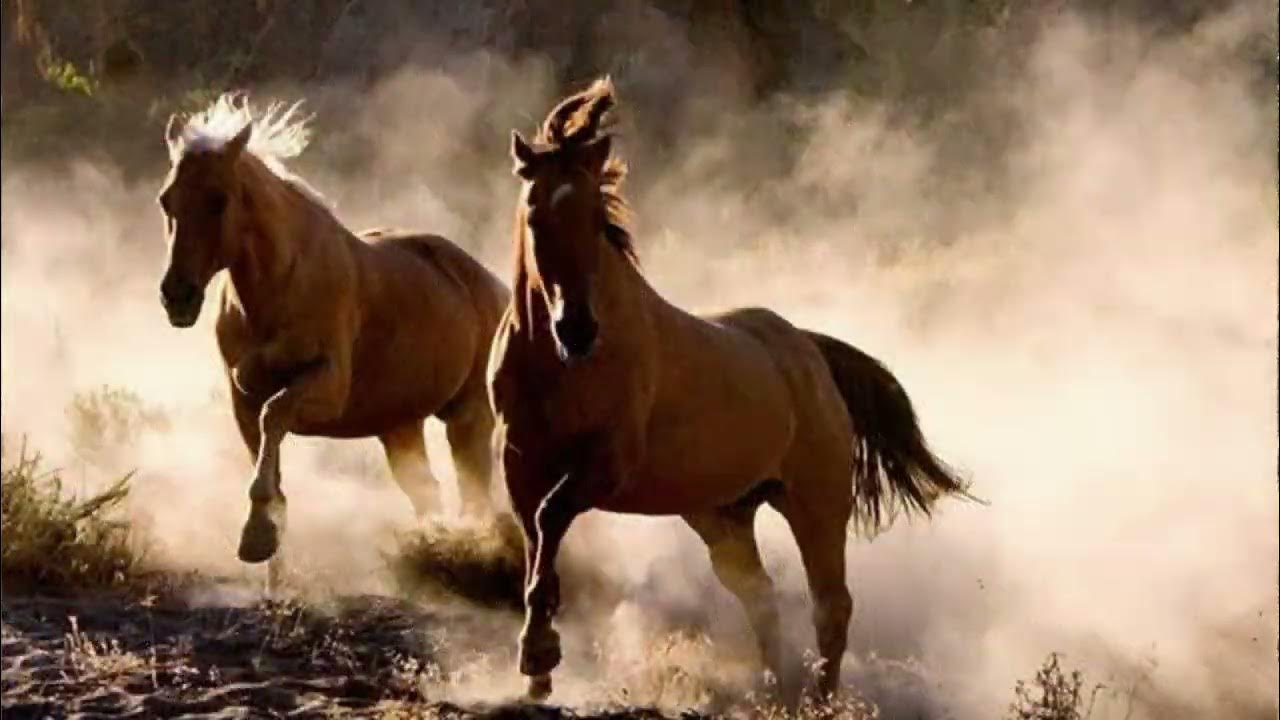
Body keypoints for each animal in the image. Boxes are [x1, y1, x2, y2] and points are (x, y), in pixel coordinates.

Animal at [156, 93, 510, 582]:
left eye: (218, 200)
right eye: (166, 200)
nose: (177, 296)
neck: (279, 288)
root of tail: (495, 286)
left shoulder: (326, 387)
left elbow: (274, 416)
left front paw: (258, 535)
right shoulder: (241, 396)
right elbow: (265, 448)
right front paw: (272, 565)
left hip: (468, 413)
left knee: (474, 493)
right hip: (400, 427)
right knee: (428, 491)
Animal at [487, 77, 971, 703]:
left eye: (597, 218)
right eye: (535, 216)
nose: (577, 330)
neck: (559, 368)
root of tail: (809, 352)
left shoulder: (607, 463)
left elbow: (550, 519)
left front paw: (540, 653)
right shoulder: (520, 458)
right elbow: (535, 537)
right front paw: (536, 668)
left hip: (815, 502)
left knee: (831, 604)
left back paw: (820, 698)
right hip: (723, 514)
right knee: (759, 594)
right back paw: (776, 689)